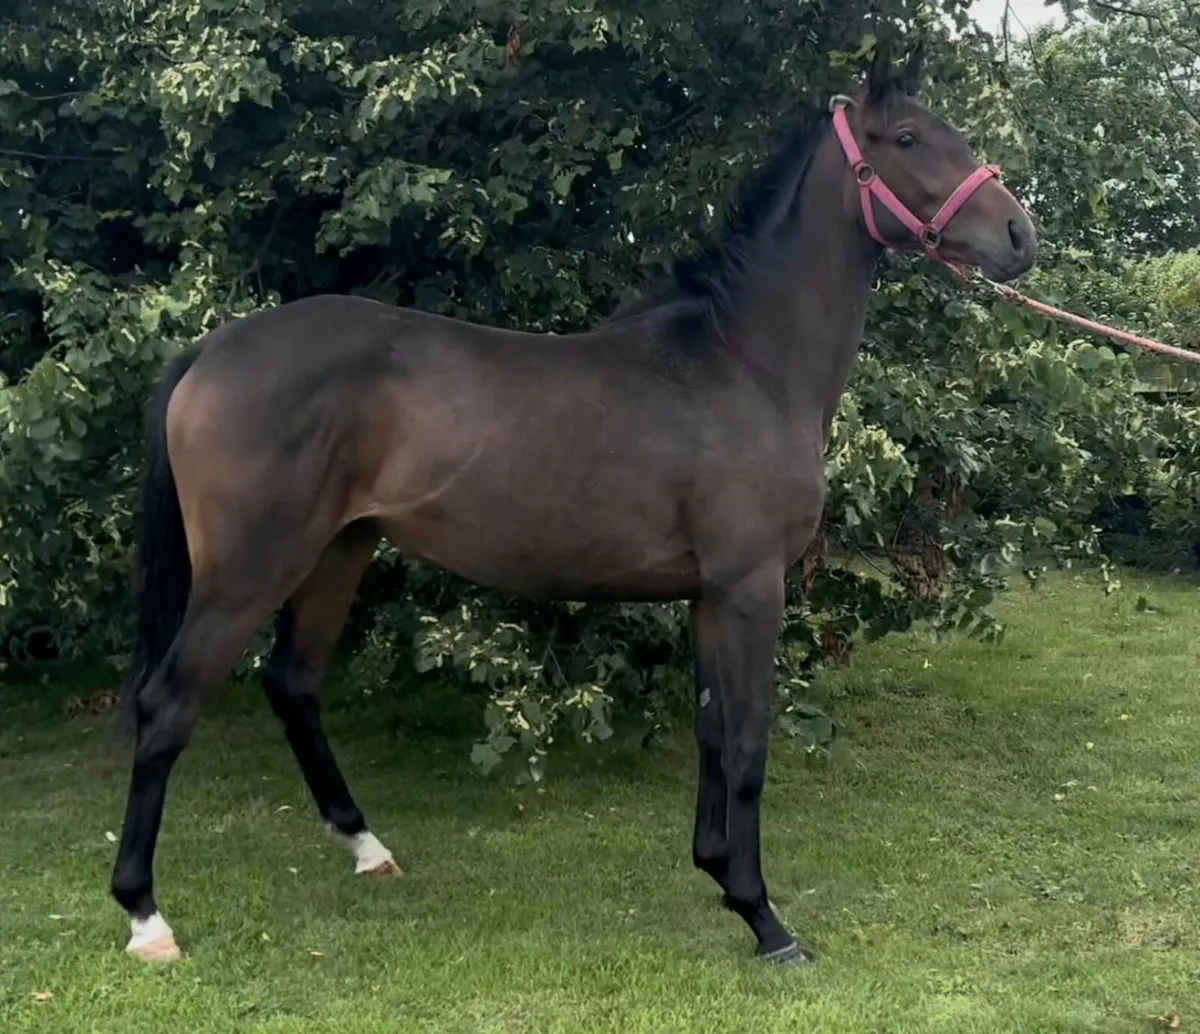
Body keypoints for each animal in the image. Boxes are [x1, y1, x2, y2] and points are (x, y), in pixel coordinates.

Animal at [111, 44, 1036, 967]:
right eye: (908, 138)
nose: (1020, 236)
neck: (744, 364)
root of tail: (208, 351)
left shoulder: (709, 597)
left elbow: (710, 735)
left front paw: (718, 875)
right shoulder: (751, 588)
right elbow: (746, 745)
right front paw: (766, 919)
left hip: (340, 550)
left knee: (294, 685)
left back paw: (366, 847)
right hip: (248, 571)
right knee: (169, 706)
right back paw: (146, 916)